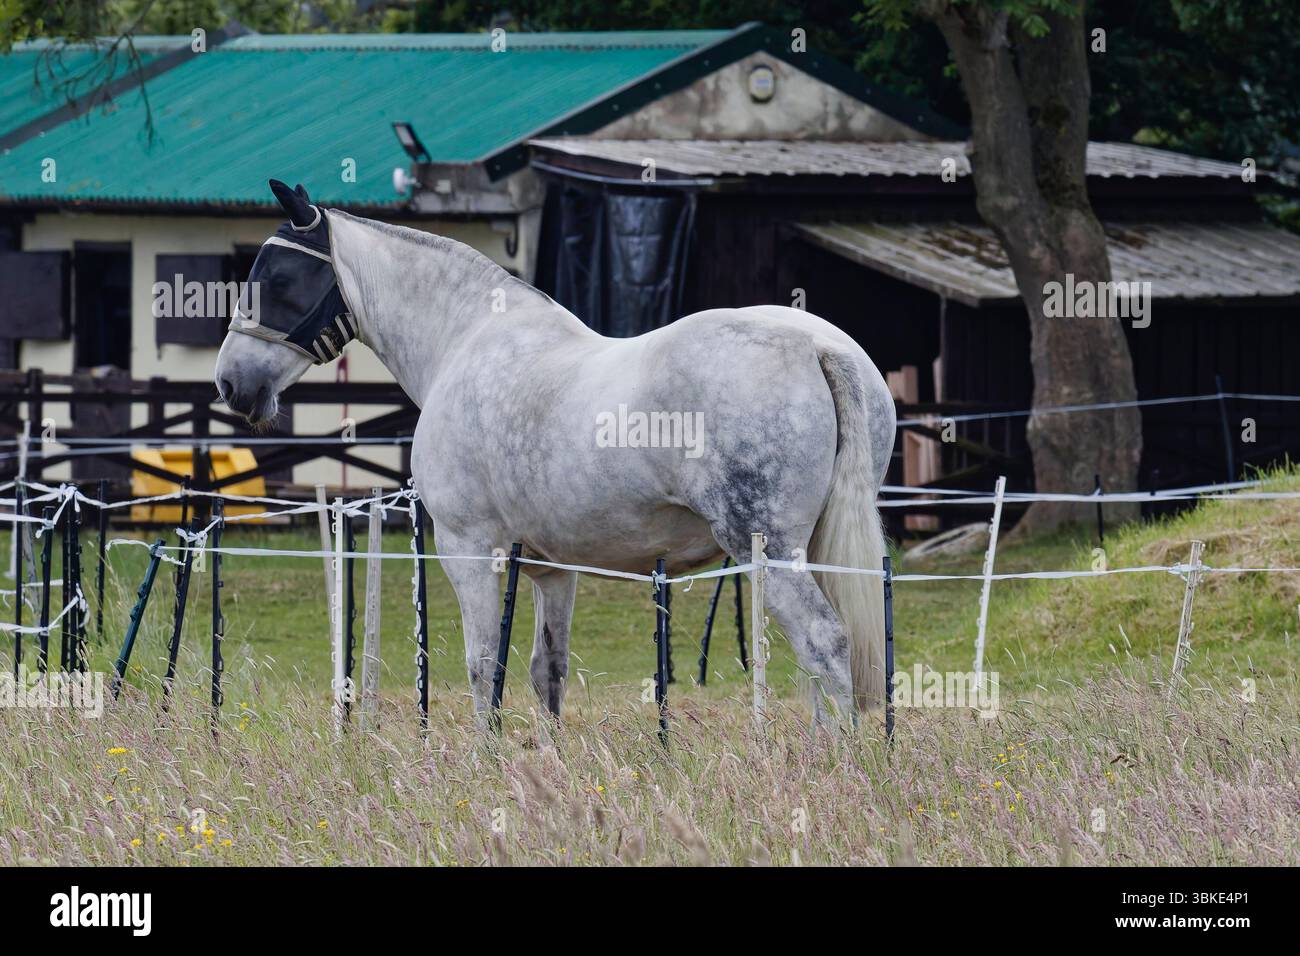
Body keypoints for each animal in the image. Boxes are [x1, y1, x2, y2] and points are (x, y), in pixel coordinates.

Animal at [214, 180, 896, 728]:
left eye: (276, 279)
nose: (230, 384)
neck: (465, 339)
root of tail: (816, 347)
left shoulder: (468, 547)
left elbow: (482, 665)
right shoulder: (551, 567)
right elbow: (548, 672)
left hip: (769, 549)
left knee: (826, 647)